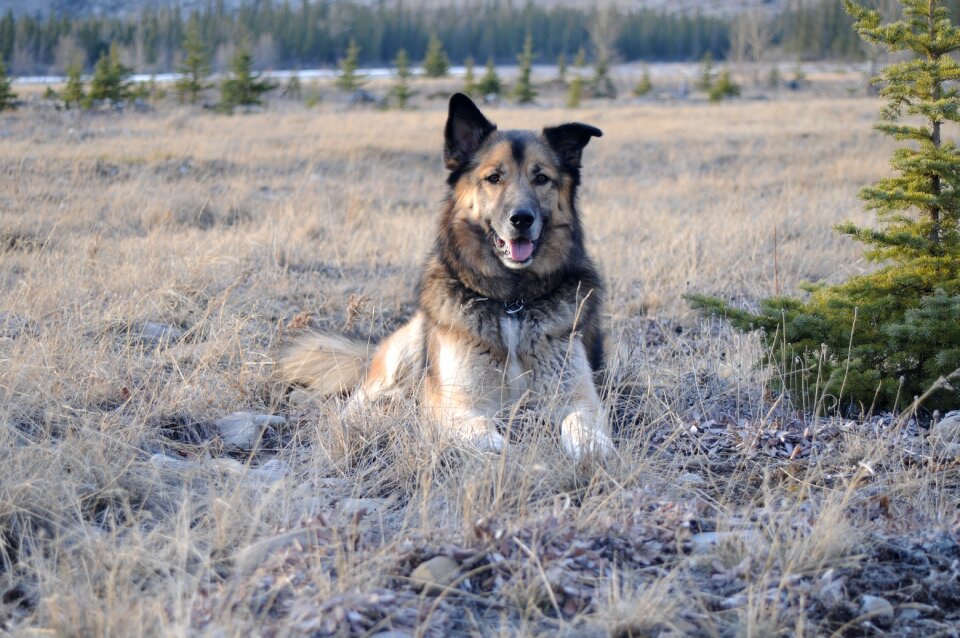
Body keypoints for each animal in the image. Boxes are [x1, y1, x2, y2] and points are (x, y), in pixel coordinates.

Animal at [282, 91, 616, 460]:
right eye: (494, 177)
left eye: (541, 178)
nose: (521, 219)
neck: (512, 302)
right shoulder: (458, 405)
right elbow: (490, 440)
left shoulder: (579, 398)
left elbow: (582, 428)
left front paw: (589, 450)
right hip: (407, 348)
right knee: (361, 400)